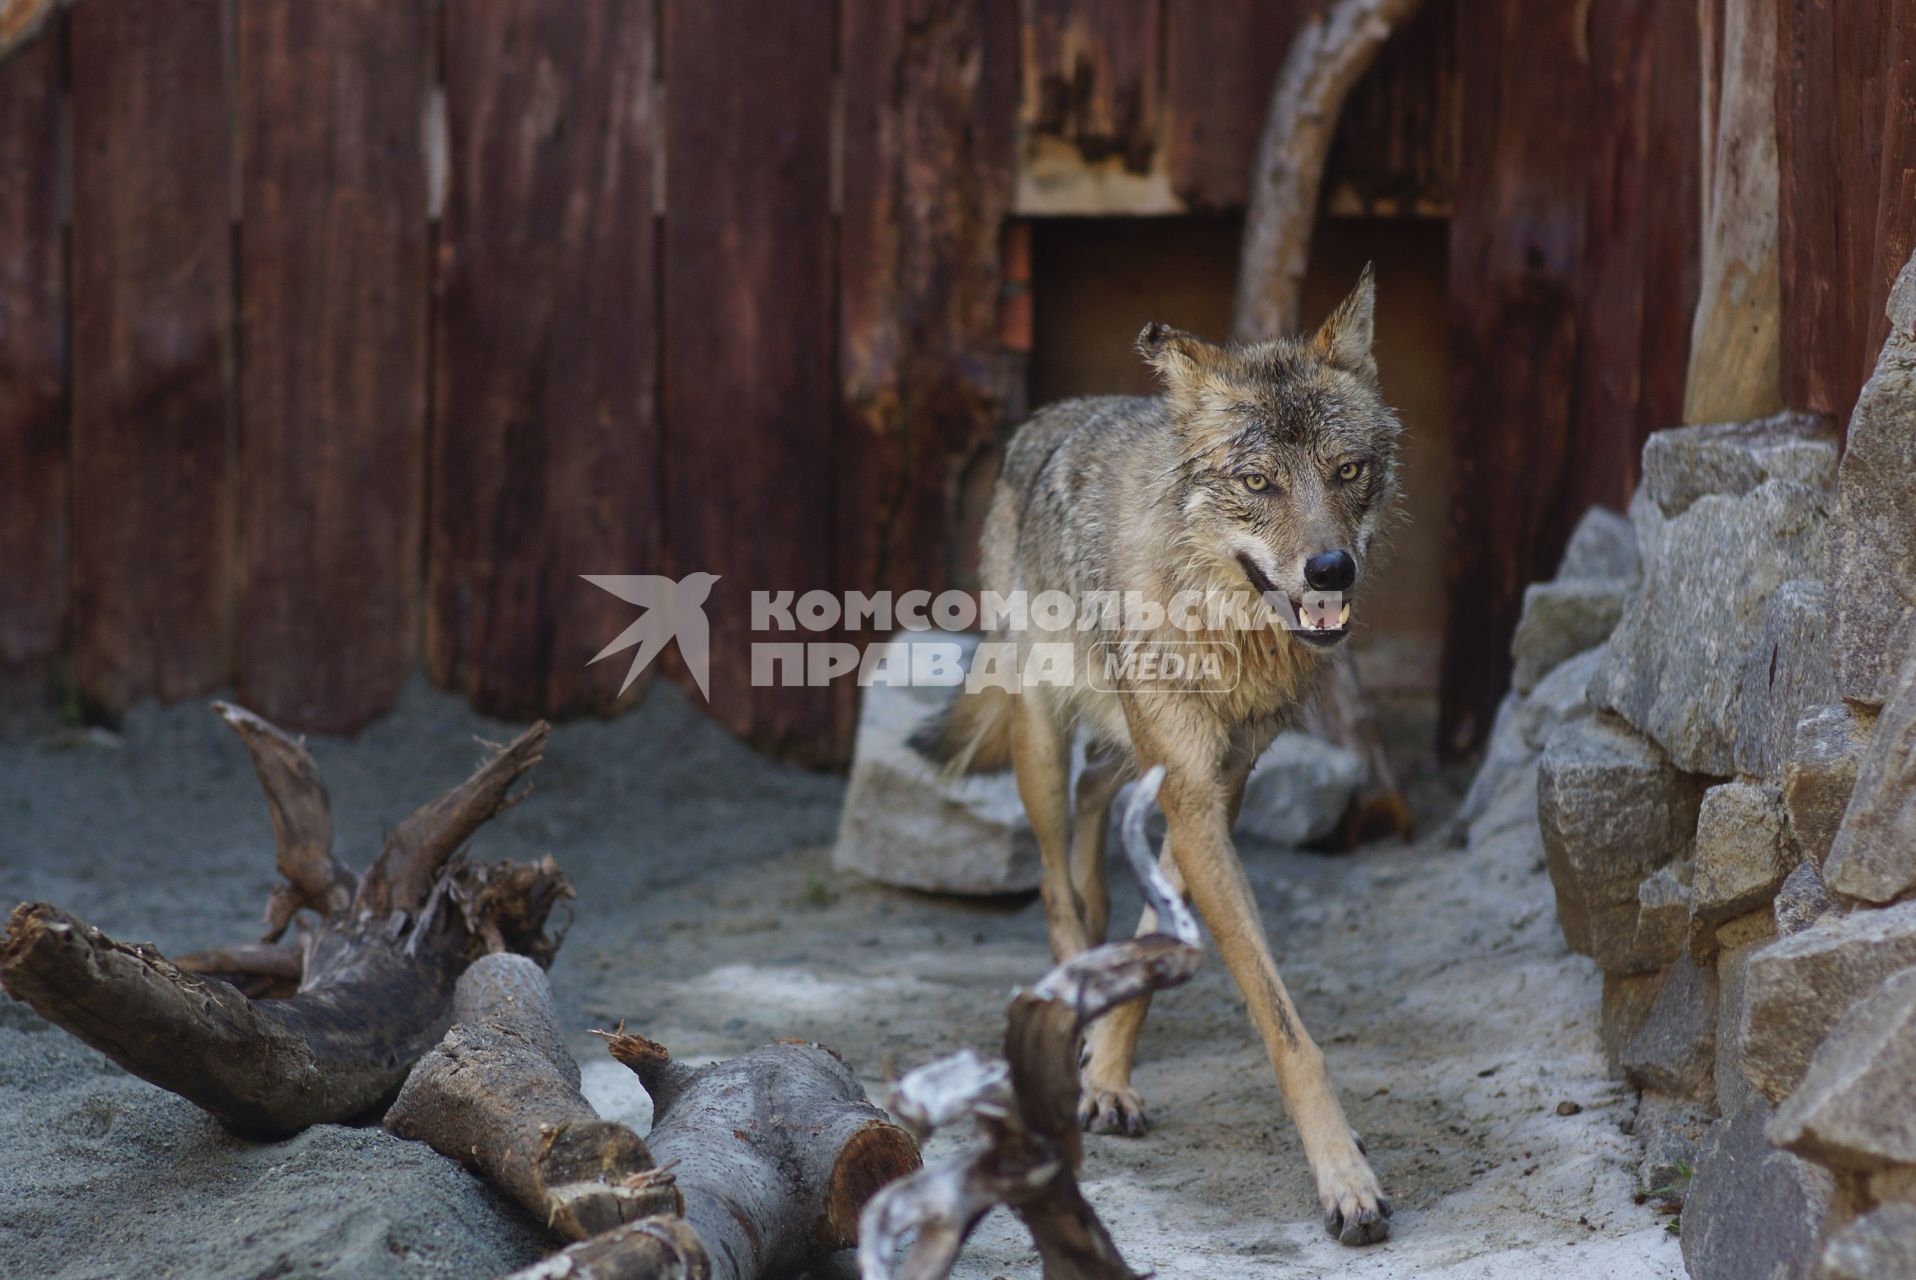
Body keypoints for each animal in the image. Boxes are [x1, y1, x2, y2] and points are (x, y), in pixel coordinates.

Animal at [912, 268, 1410, 1241]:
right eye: (1257, 481)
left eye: (1348, 471)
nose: (1331, 570)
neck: (1223, 622)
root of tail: (1045, 417)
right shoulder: (1189, 792)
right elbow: (1284, 1025)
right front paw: (1346, 1180)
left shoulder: (1217, 788)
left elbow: (1157, 936)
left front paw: (1110, 1077)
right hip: (1038, 738)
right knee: (1058, 888)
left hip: (1126, 754)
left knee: (1097, 835)